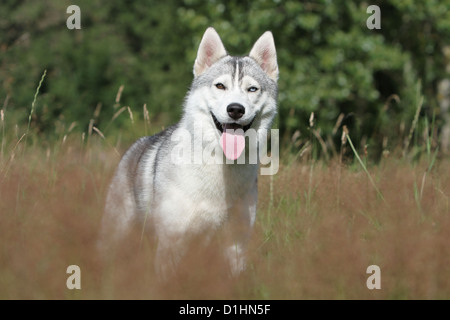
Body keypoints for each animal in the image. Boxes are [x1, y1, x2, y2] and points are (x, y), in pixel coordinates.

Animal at [100, 27, 280, 278]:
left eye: (252, 89)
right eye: (220, 86)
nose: (235, 109)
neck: (221, 167)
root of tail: (136, 146)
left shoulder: (235, 244)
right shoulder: (172, 242)